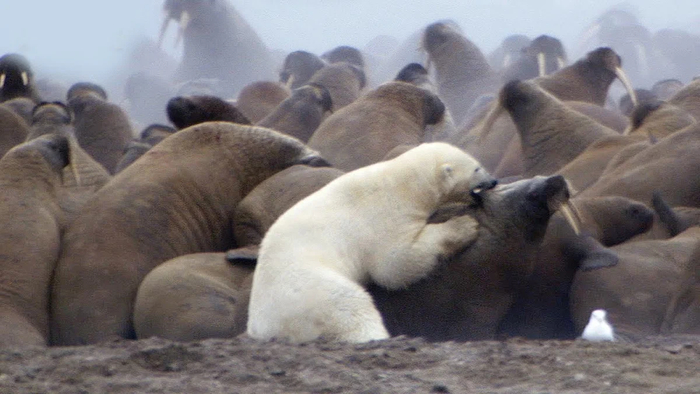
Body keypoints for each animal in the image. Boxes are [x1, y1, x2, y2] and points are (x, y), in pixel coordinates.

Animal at [246, 142, 498, 342]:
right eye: (477, 167)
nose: (494, 180)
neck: (403, 183)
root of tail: (262, 327)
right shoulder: (383, 216)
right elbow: (394, 265)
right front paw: (465, 225)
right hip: (306, 290)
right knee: (349, 305)